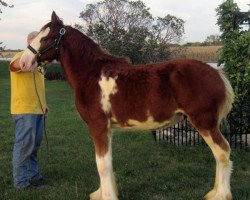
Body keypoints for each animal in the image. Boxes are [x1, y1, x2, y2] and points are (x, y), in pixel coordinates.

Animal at [19, 11, 234, 199]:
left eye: (47, 38)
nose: (23, 62)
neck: (91, 75)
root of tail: (217, 73)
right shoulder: (106, 129)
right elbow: (107, 162)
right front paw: (103, 193)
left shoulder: (98, 126)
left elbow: (102, 164)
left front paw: (107, 196)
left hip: (205, 123)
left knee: (223, 152)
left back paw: (220, 195)